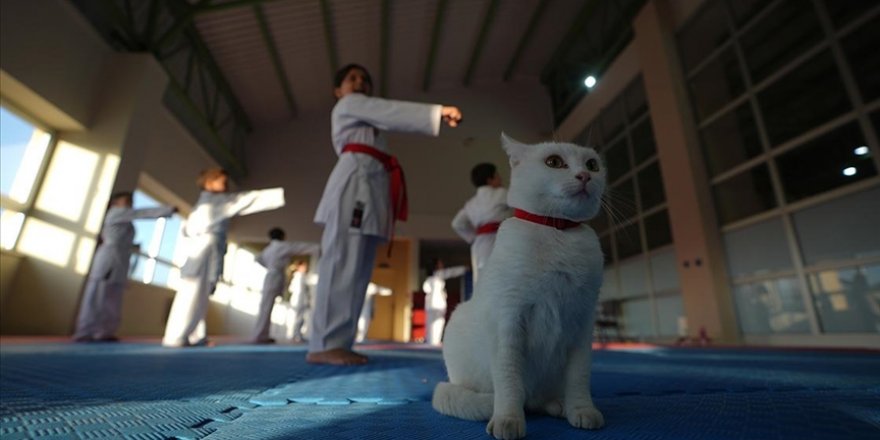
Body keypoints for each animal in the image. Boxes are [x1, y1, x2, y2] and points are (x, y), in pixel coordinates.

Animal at [432, 134, 604, 440]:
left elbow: (579, 377)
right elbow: (509, 379)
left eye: (593, 165)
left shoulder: (583, 323)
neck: (558, 232)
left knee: (541, 399)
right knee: (513, 395)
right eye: (554, 162)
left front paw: (582, 411)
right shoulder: (509, 319)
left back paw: (559, 404)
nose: (584, 176)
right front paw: (508, 420)